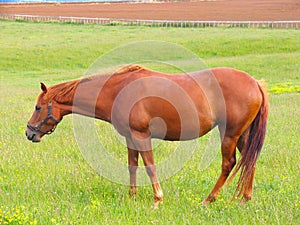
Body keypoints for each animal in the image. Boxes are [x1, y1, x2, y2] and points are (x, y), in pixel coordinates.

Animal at [26, 64, 270, 207]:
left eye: (38, 107)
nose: (29, 132)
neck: (118, 90)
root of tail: (255, 83)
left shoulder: (142, 135)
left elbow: (150, 166)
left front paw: (157, 200)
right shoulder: (130, 137)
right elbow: (132, 166)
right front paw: (132, 197)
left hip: (229, 134)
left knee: (229, 164)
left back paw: (209, 199)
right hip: (243, 136)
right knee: (250, 160)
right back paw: (245, 199)